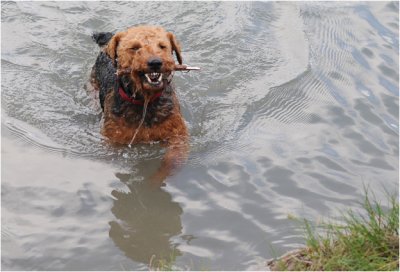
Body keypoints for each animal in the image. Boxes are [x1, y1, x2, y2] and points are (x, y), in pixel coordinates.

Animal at [91, 26, 188, 183]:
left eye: (162, 46)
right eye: (135, 47)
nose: (155, 62)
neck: (145, 102)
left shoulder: (178, 136)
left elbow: (171, 161)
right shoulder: (114, 141)